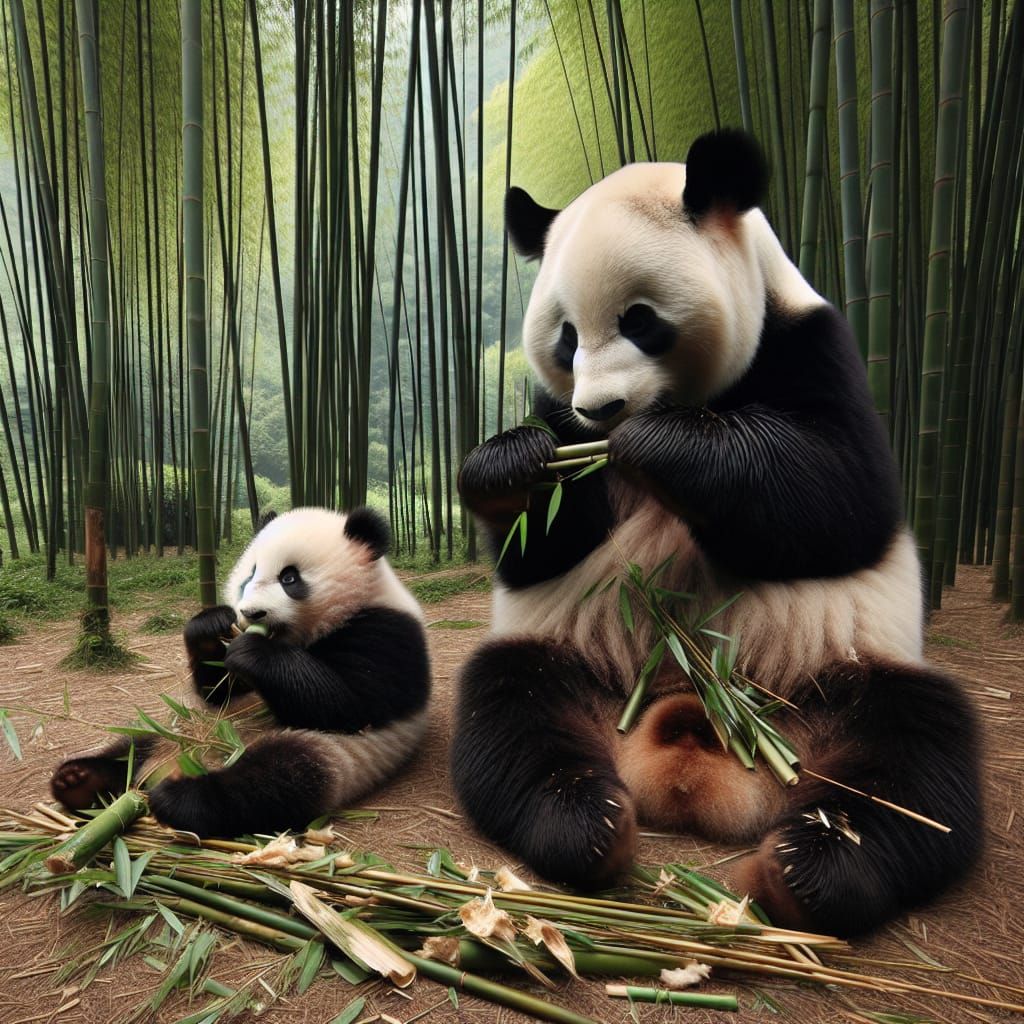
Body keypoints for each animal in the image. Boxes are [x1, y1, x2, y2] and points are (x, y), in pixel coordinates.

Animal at [51, 506, 430, 838]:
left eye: (289, 577)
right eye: (250, 574)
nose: (252, 613)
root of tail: (168, 766)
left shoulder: (387, 631)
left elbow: (350, 705)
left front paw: (254, 652)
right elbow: (221, 690)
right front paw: (210, 627)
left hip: (325, 754)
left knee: (275, 780)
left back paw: (180, 798)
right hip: (176, 724)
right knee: (132, 744)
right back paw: (78, 780)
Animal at [452, 130, 981, 937]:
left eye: (640, 320)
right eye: (566, 339)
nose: (602, 409)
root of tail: (686, 711)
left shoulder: (812, 346)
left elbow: (844, 496)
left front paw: (663, 444)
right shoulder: (558, 412)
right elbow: (541, 544)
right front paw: (514, 464)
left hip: (835, 675)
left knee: (914, 756)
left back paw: (813, 868)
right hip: (569, 655)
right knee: (509, 714)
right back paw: (586, 823)